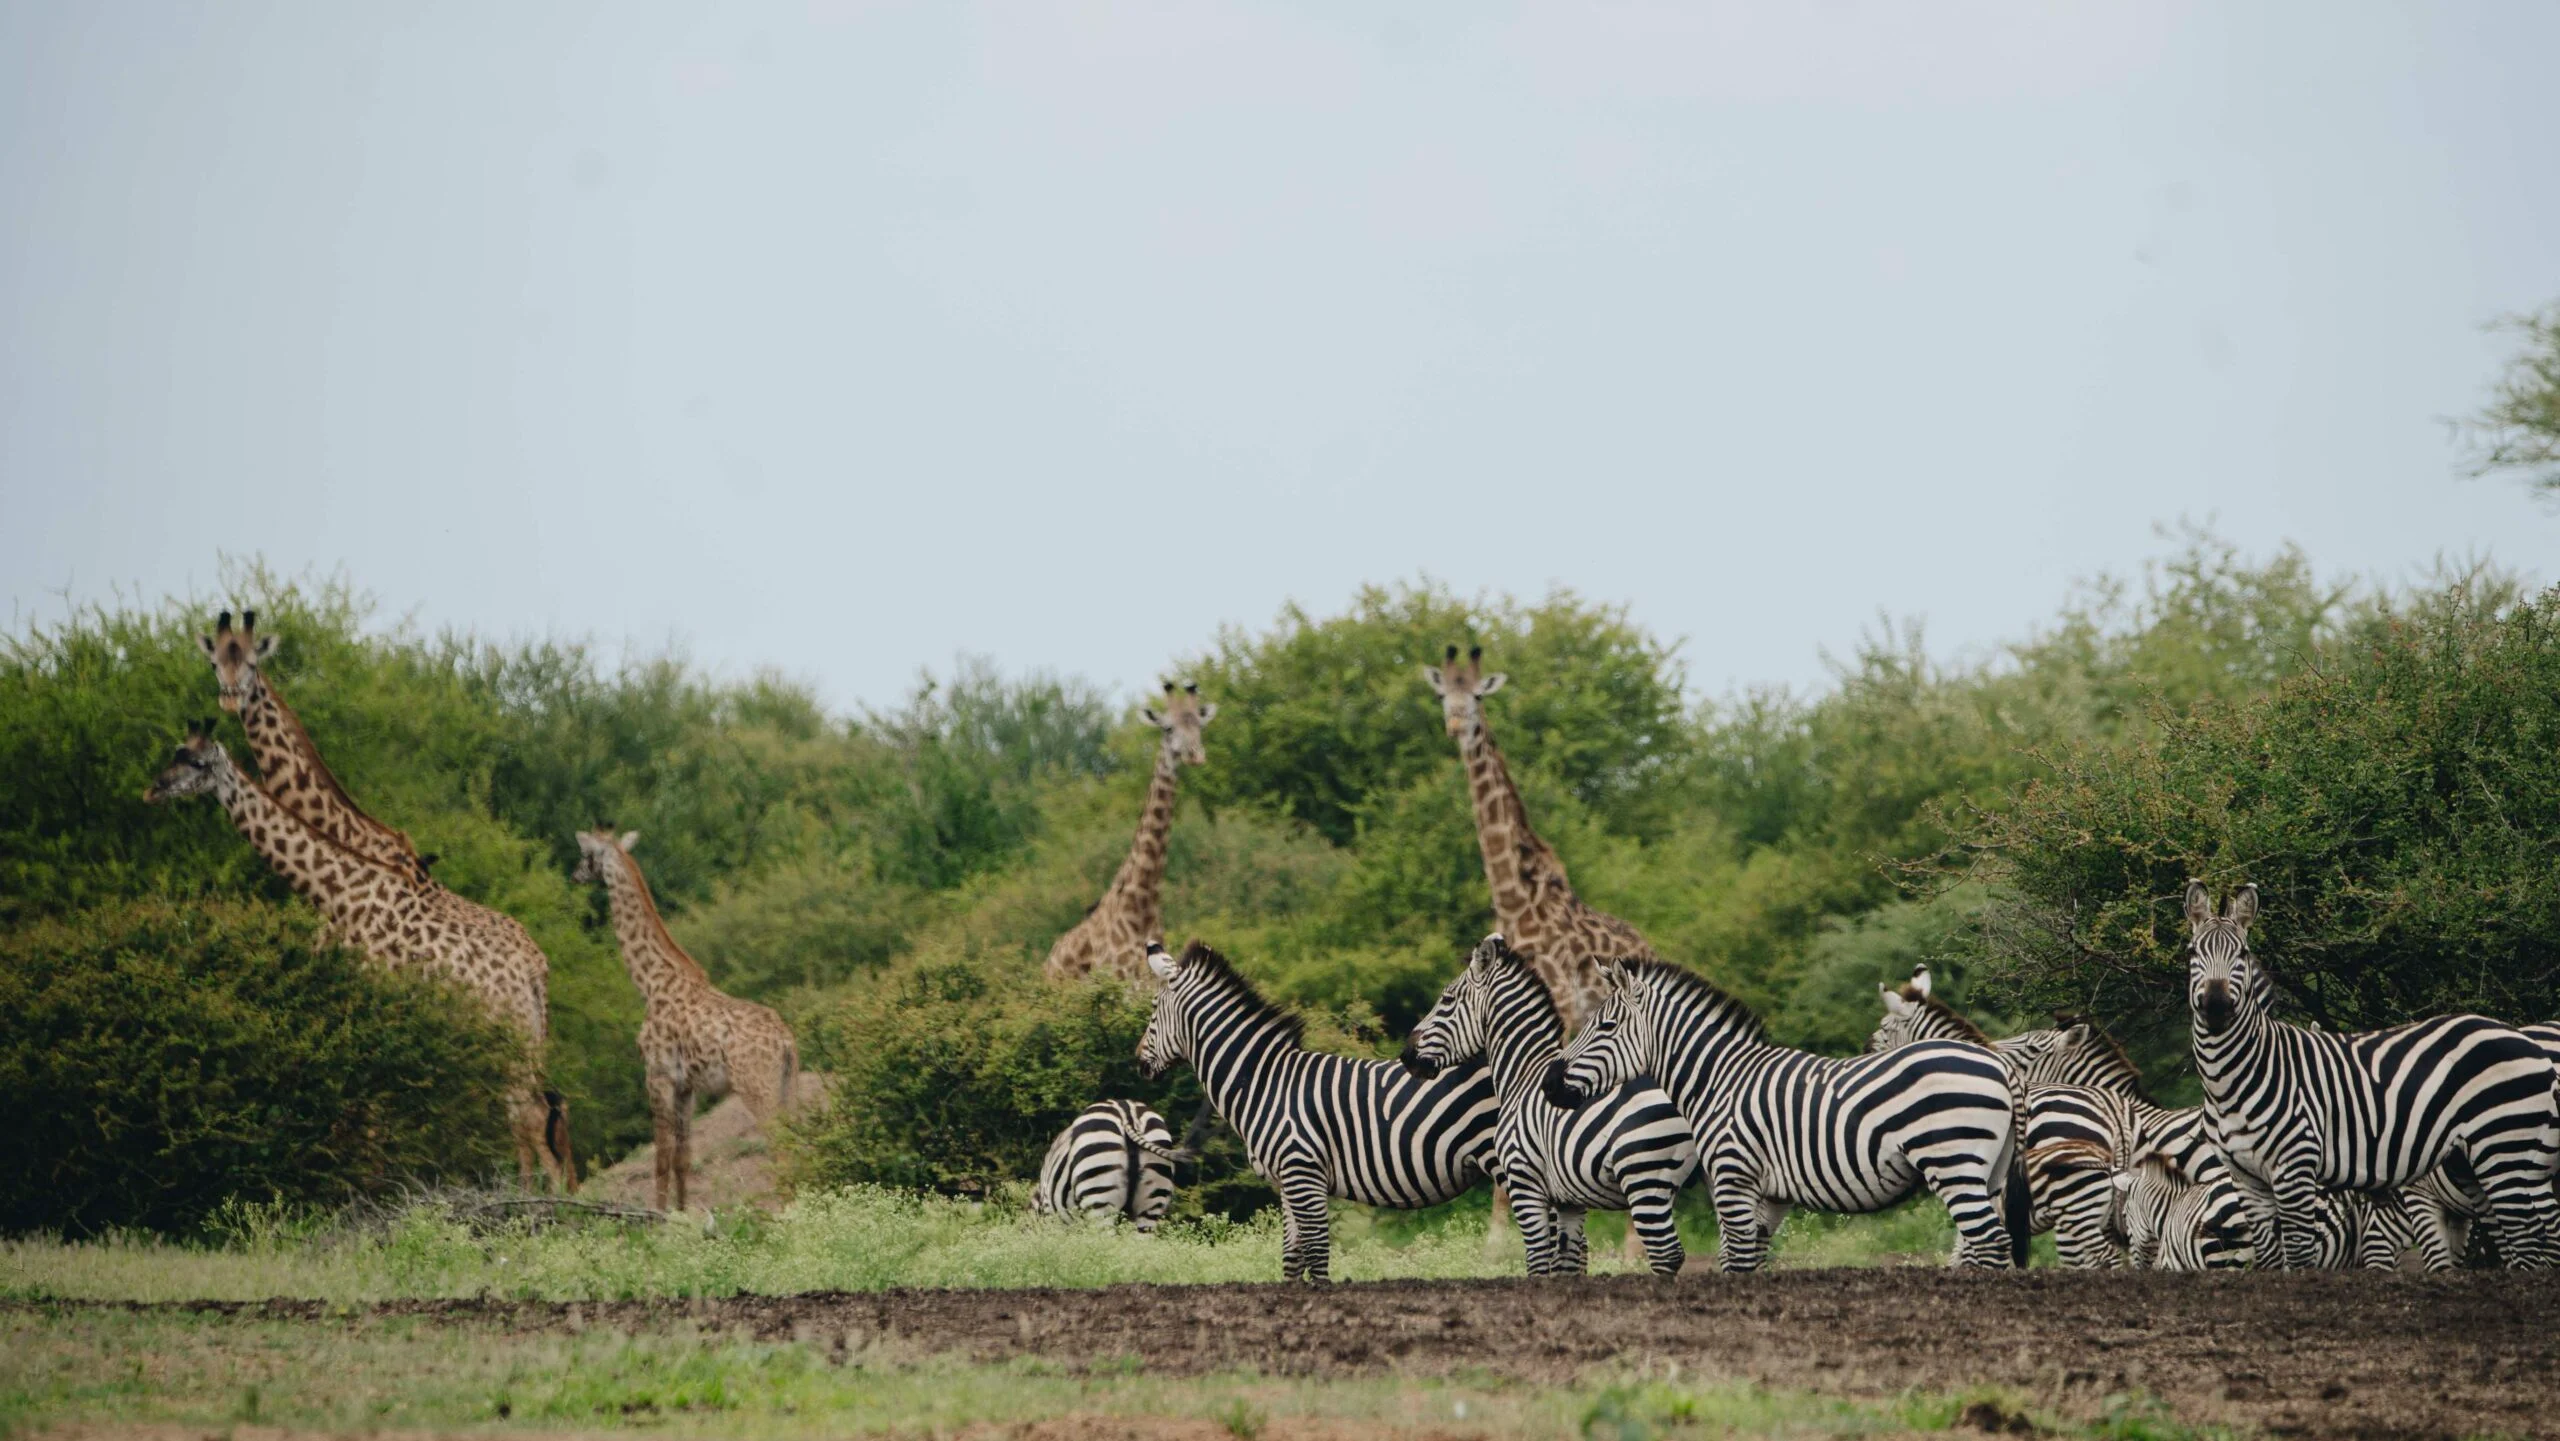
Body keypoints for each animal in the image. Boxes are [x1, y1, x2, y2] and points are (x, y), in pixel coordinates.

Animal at [145, 723, 575, 1191]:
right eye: (175, 751)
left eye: (196, 762)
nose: (154, 789)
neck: (339, 894)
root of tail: (536, 974)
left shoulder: (370, 1002)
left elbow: (366, 1111)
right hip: (517, 1040)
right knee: (536, 1112)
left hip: (508, 1038)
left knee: (532, 1113)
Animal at [572, 827, 799, 1213]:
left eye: (586, 853)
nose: (575, 875)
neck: (650, 982)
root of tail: (786, 1041)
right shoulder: (686, 1086)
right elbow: (683, 1157)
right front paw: (680, 1213)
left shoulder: (657, 1074)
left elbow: (661, 1156)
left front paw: (659, 1216)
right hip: (786, 1085)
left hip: (758, 1087)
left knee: (780, 1147)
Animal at [1043, 682, 1217, 987]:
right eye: (1168, 728)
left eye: (1199, 725)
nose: (1195, 755)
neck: (1142, 904)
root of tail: (1046, 965)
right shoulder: (1122, 979)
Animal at [1423, 644, 1664, 1259]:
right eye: (1443, 694)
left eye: (1476, 695)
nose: (1456, 724)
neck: (1516, 903)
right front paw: (1500, 1237)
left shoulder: (1556, 1007)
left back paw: (1632, 1247)